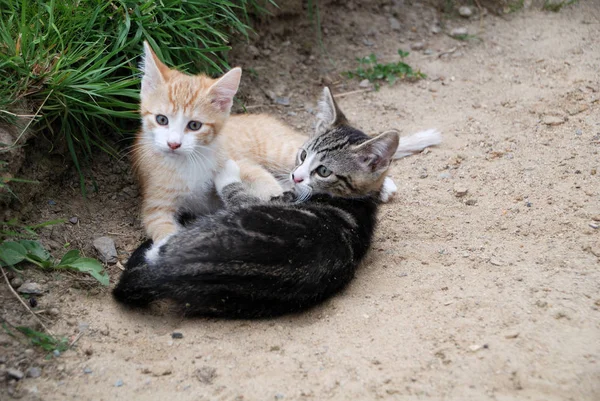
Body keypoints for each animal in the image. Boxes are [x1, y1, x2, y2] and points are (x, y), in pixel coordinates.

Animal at [113, 86, 398, 316]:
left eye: (324, 171)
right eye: (303, 155)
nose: (296, 176)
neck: (357, 201)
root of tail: (169, 275)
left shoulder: (273, 199)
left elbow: (238, 192)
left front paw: (227, 170)